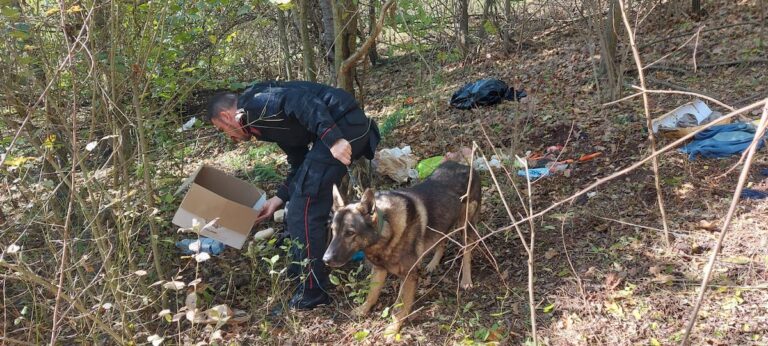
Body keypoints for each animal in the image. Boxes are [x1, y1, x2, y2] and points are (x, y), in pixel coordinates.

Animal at [322, 161, 480, 334]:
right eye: (333, 230)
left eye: (350, 233)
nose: (325, 259)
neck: (385, 230)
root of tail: (465, 166)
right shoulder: (379, 270)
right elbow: (372, 293)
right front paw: (364, 309)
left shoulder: (409, 276)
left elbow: (399, 308)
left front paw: (393, 329)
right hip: (441, 224)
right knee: (441, 241)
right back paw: (433, 263)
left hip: (466, 227)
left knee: (467, 252)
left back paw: (466, 280)